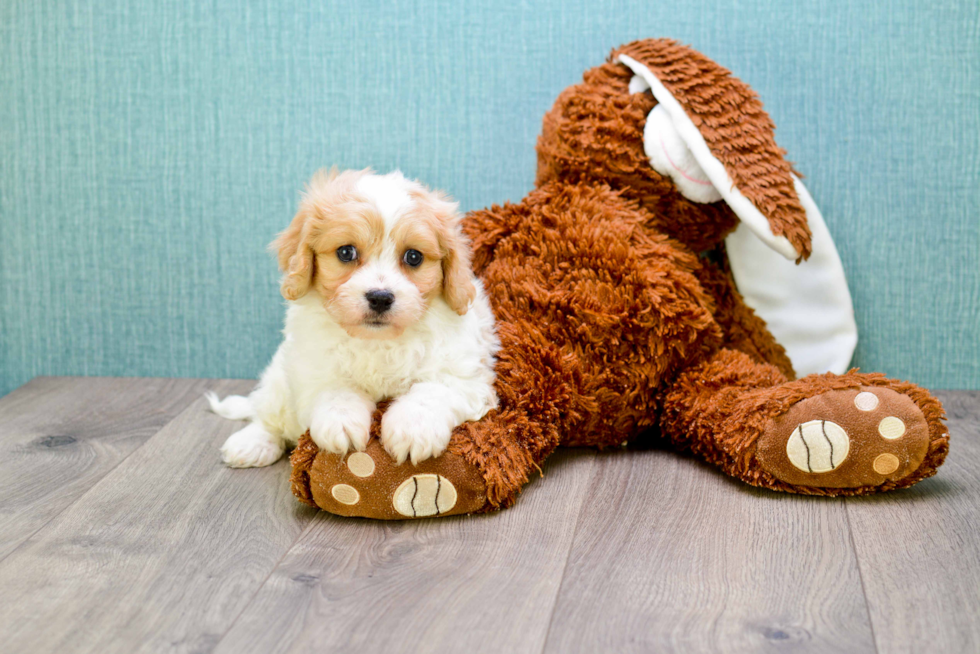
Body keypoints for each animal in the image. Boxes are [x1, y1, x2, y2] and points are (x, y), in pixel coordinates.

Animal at [207, 168, 498, 466]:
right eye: (346, 252)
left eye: (414, 257)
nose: (380, 297)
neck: (377, 340)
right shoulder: (313, 366)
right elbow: (336, 391)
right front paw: (340, 423)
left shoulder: (463, 374)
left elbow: (432, 391)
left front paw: (413, 428)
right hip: (278, 381)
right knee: (269, 415)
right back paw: (253, 442)